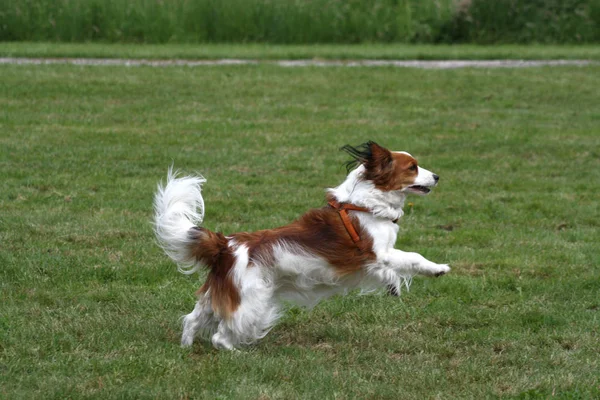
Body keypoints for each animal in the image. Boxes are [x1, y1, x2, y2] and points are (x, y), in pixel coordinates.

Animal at [152, 142, 448, 348]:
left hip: (215, 296)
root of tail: (226, 245)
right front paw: (438, 269)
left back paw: (186, 348)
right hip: (251, 302)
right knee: (220, 338)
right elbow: (413, 257)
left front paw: (394, 286)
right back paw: (239, 353)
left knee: (191, 321)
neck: (364, 204)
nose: (436, 176)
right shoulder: (378, 254)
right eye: (412, 167)